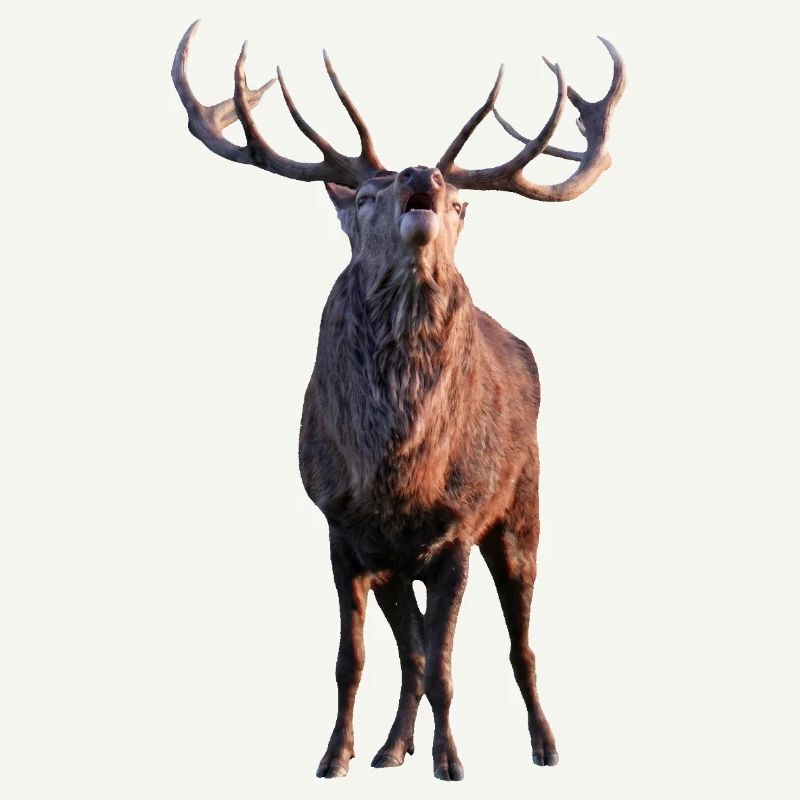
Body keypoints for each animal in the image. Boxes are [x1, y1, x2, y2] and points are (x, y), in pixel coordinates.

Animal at [172, 20, 625, 781]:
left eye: (461, 205)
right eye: (364, 197)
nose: (422, 176)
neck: (398, 471)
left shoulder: (456, 531)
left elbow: (445, 664)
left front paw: (451, 762)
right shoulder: (344, 530)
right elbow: (354, 661)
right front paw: (336, 756)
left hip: (522, 512)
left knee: (521, 644)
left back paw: (544, 744)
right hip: (397, 565)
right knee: (409, 650)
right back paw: (391, 748)